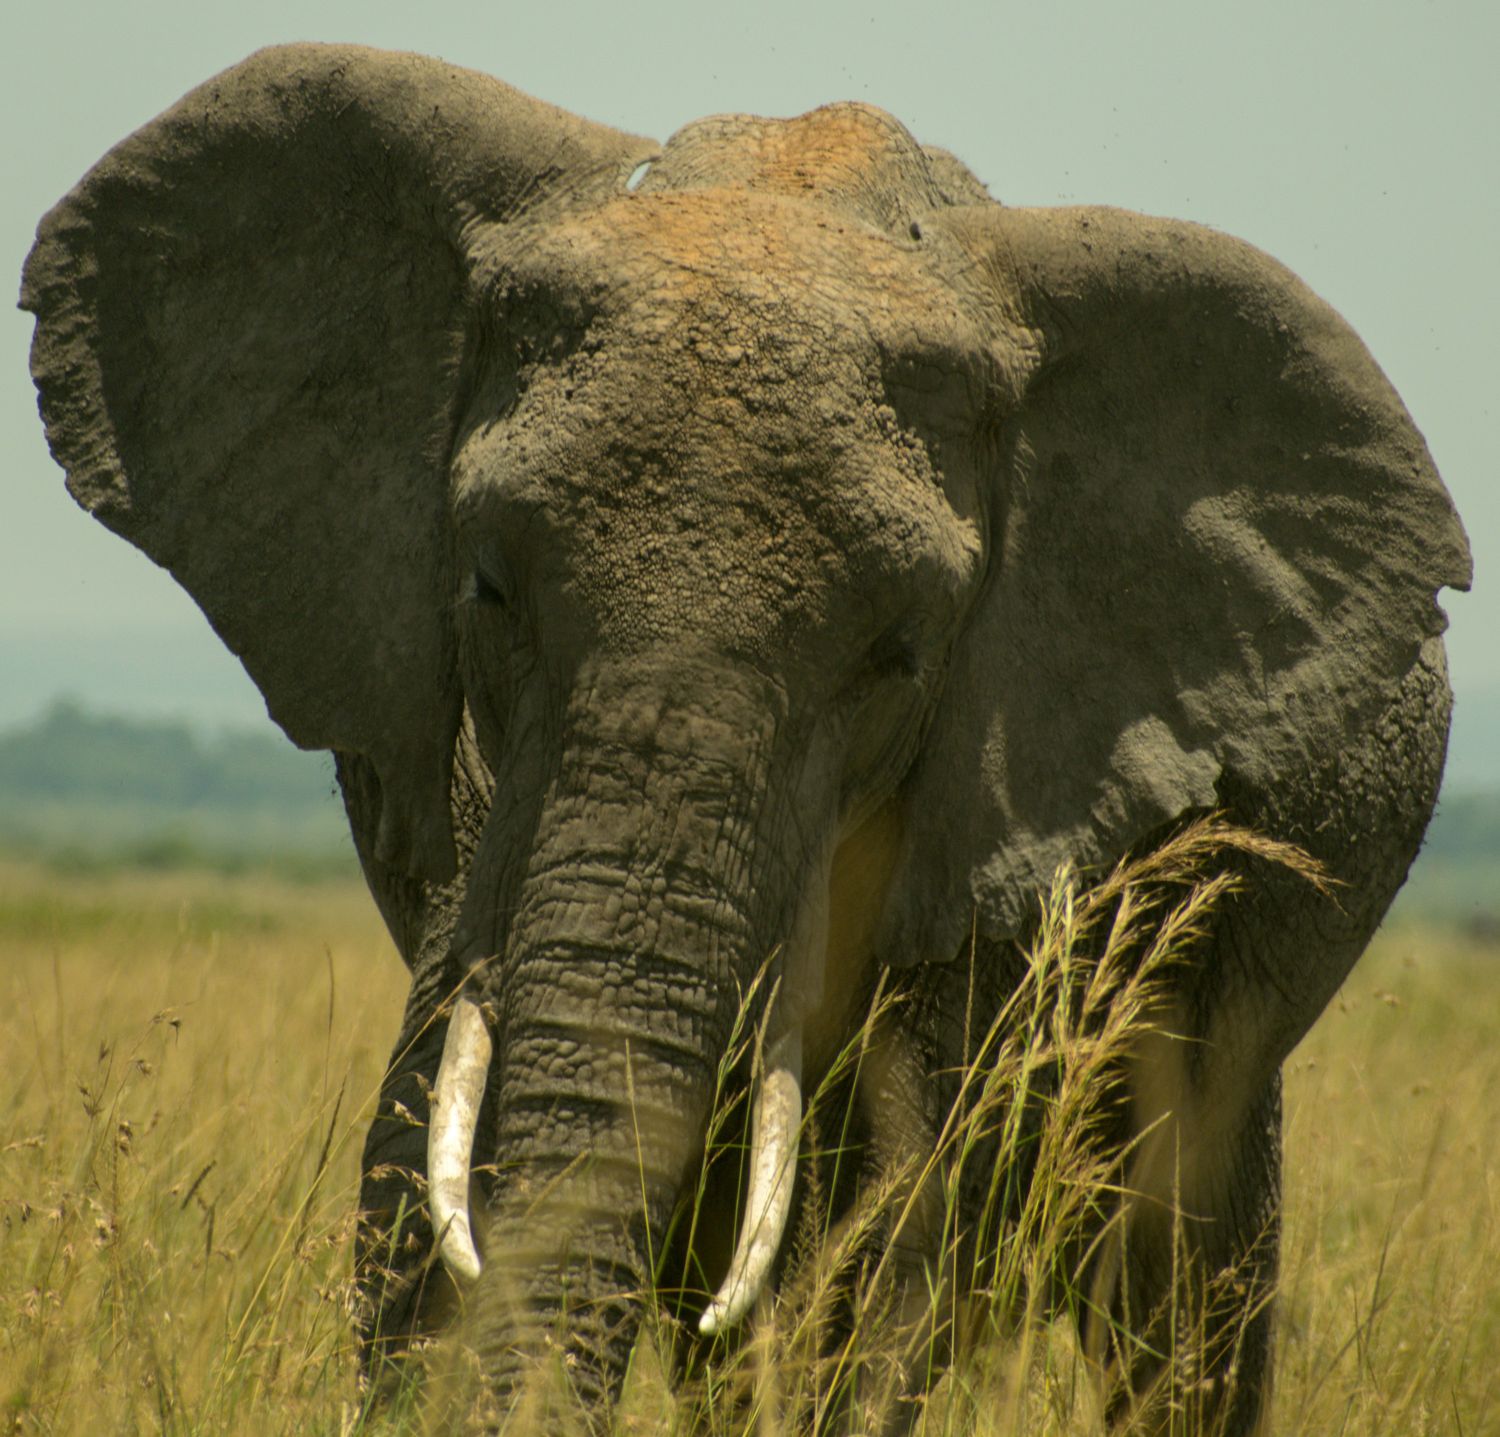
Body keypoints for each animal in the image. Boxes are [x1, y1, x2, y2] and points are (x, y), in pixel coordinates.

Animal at [21, 42, 1469, 1436]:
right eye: (487, 586)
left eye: (900, 653)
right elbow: (425, 1147)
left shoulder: (1014, 799)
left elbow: (872, 1250)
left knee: (1178, 1287)